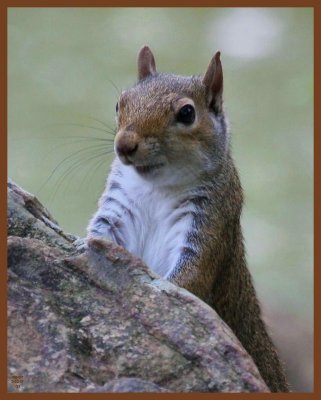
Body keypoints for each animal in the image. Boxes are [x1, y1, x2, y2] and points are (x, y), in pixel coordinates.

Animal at [86, 46, 288, 390]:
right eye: (119, 103)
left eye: (186, 114)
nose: (124, 145)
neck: (156, 187)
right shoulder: (118, 210)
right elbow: (101, 238)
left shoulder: (209, 221)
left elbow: (191, 278)